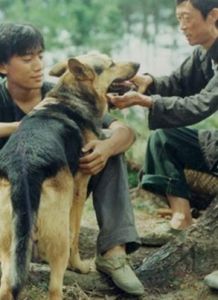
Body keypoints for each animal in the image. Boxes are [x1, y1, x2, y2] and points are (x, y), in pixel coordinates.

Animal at [0, 54, 139, 300]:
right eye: (111, 64)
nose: (138, 65)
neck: (71, 96)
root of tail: (23, 168)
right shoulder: (79, 188)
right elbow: (75, 235)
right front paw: (80, 266)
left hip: (8, 242)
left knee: (6, 286)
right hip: (58, 236)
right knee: (55, 287)